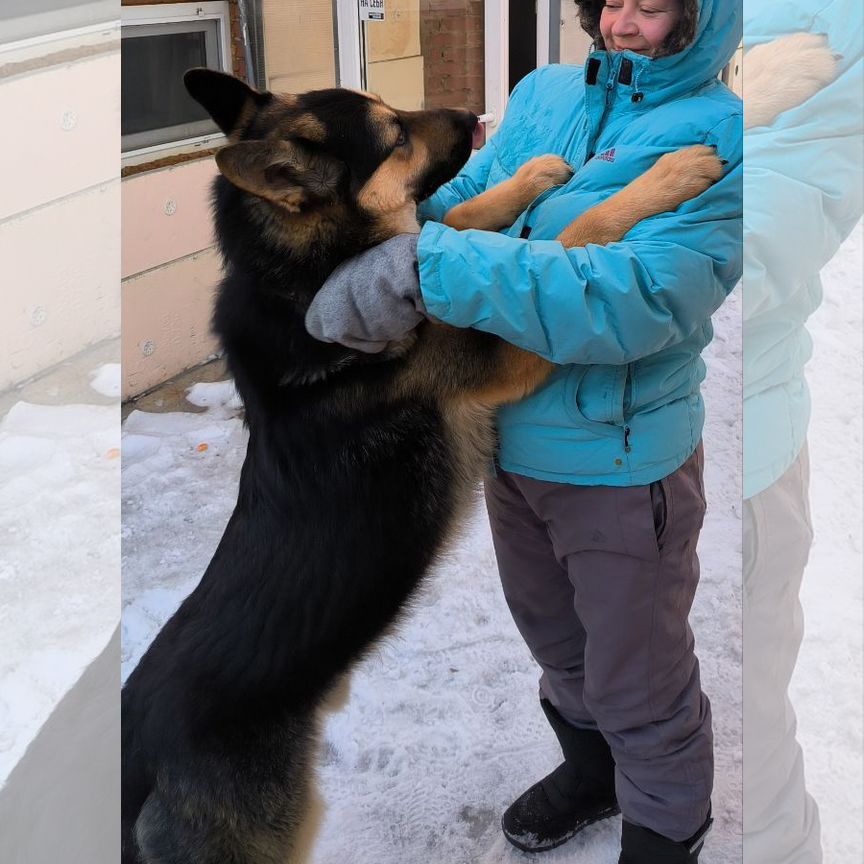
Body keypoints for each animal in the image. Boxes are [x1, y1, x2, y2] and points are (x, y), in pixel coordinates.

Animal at [120, 69, 724, 864]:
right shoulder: (505, 349)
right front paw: (671, 174)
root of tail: (138, 756)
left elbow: (456, 226)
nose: (475, 115)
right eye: (395, 135)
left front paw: (529, 177)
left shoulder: (443, 272)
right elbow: (569, 242)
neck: (307, 279)